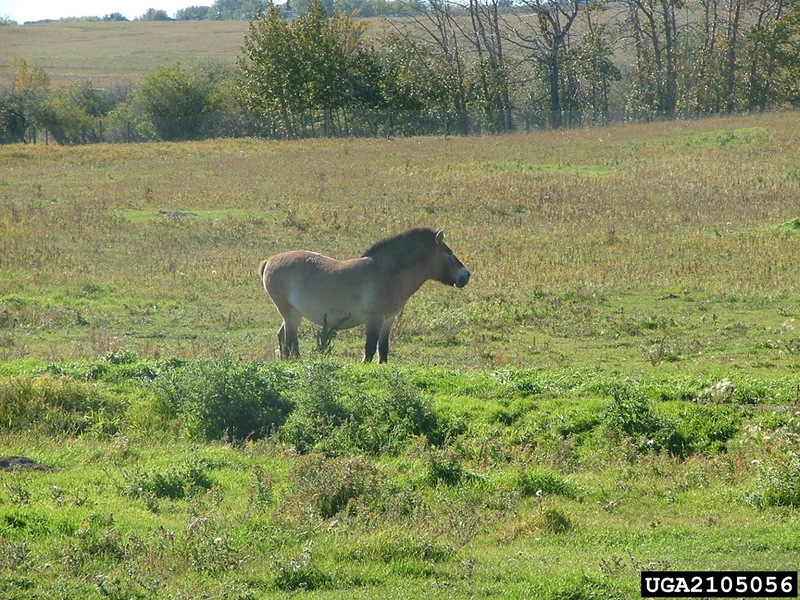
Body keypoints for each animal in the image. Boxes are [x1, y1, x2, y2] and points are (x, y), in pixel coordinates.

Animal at [260, 229, 468, 360]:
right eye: (449, 253)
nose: (466, 275)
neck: (386, 274)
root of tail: (269, 261)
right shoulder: (374, 319)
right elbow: (369, 349)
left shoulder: (388, 320)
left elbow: (382, 349)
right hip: (290, 313)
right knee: (291, 340)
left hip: (295, 313)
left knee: (282, 337)